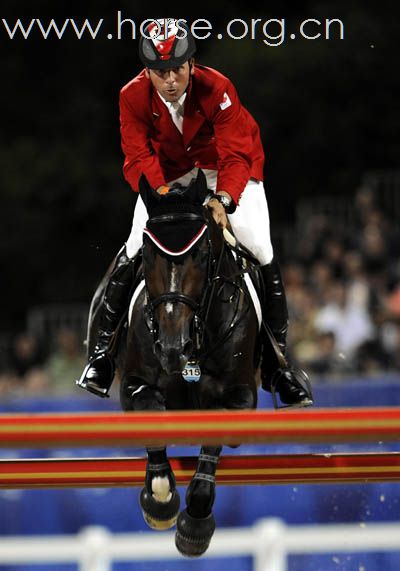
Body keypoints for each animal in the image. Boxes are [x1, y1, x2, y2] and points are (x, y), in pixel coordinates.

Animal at [117, 171, 260, 560]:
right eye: (147, 252)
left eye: (202, 253)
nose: (171, 348)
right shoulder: (133, 386)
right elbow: (150, 413)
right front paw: (160, 500)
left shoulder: (242, 397)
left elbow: (213, 443)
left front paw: (194, 526)